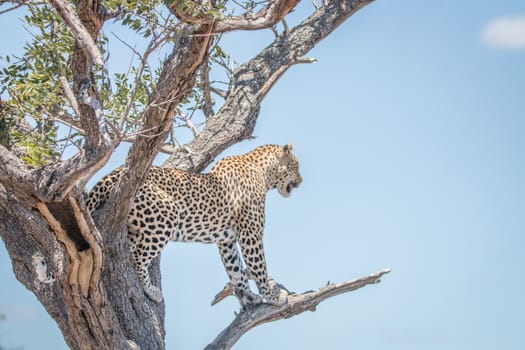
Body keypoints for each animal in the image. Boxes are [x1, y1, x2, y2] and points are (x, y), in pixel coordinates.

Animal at [87, 144, 300, 304]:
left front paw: (248, 296)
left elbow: (236, 269)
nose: (301, 181)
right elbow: (258, 266)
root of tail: (111, 175)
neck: (263, 171)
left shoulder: (227, 240)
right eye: (296, 166)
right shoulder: (250, 233)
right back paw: (151, 291)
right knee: (137, 257)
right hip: (166, 214)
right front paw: (272, 296)